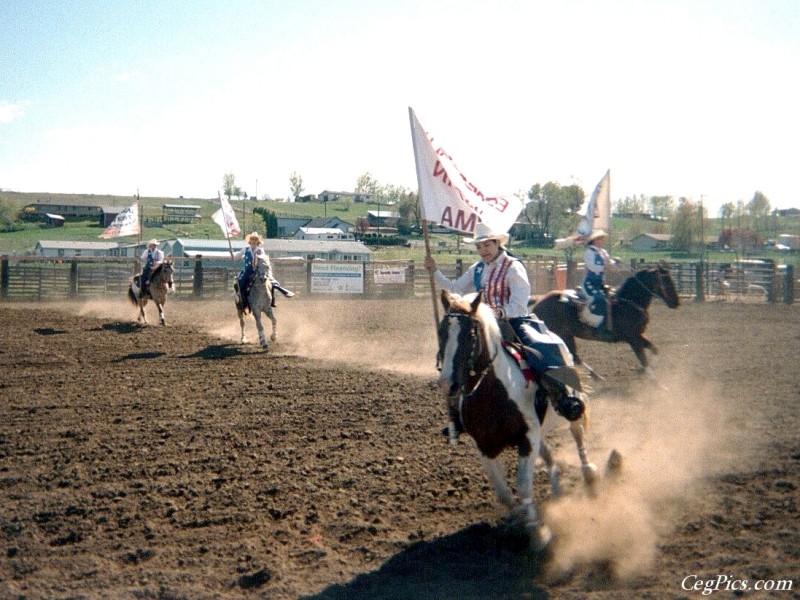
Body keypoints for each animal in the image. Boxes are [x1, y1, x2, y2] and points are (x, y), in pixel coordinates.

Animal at [536, 264, 680, 378]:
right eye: (666, 282)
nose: (676, 302)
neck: (629, 301)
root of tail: (539, 304)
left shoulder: (638, 336)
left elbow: (655, 349)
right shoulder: (633, 339)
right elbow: (643, 360)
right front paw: (656, 383)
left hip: (566, 335)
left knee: (573, 356)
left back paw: (596, 376)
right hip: (561, 334)